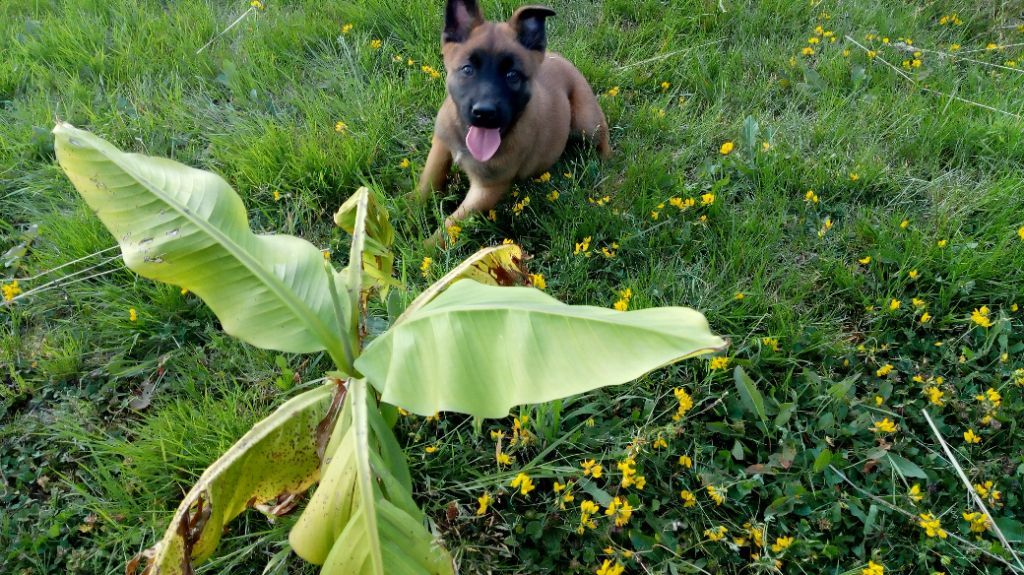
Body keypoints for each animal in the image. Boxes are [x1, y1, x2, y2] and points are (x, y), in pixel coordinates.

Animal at [419, 0, 610, 235]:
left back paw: (605, 162)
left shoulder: (487, 189)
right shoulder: (441, 146)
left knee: (603, 135)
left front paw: (421, 242)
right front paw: (406, 212)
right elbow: (427, 182)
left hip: (587, 122)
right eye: (467, 69)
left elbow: (448, 227)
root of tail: (560, 58)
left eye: (512, 75)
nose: (484, 112)